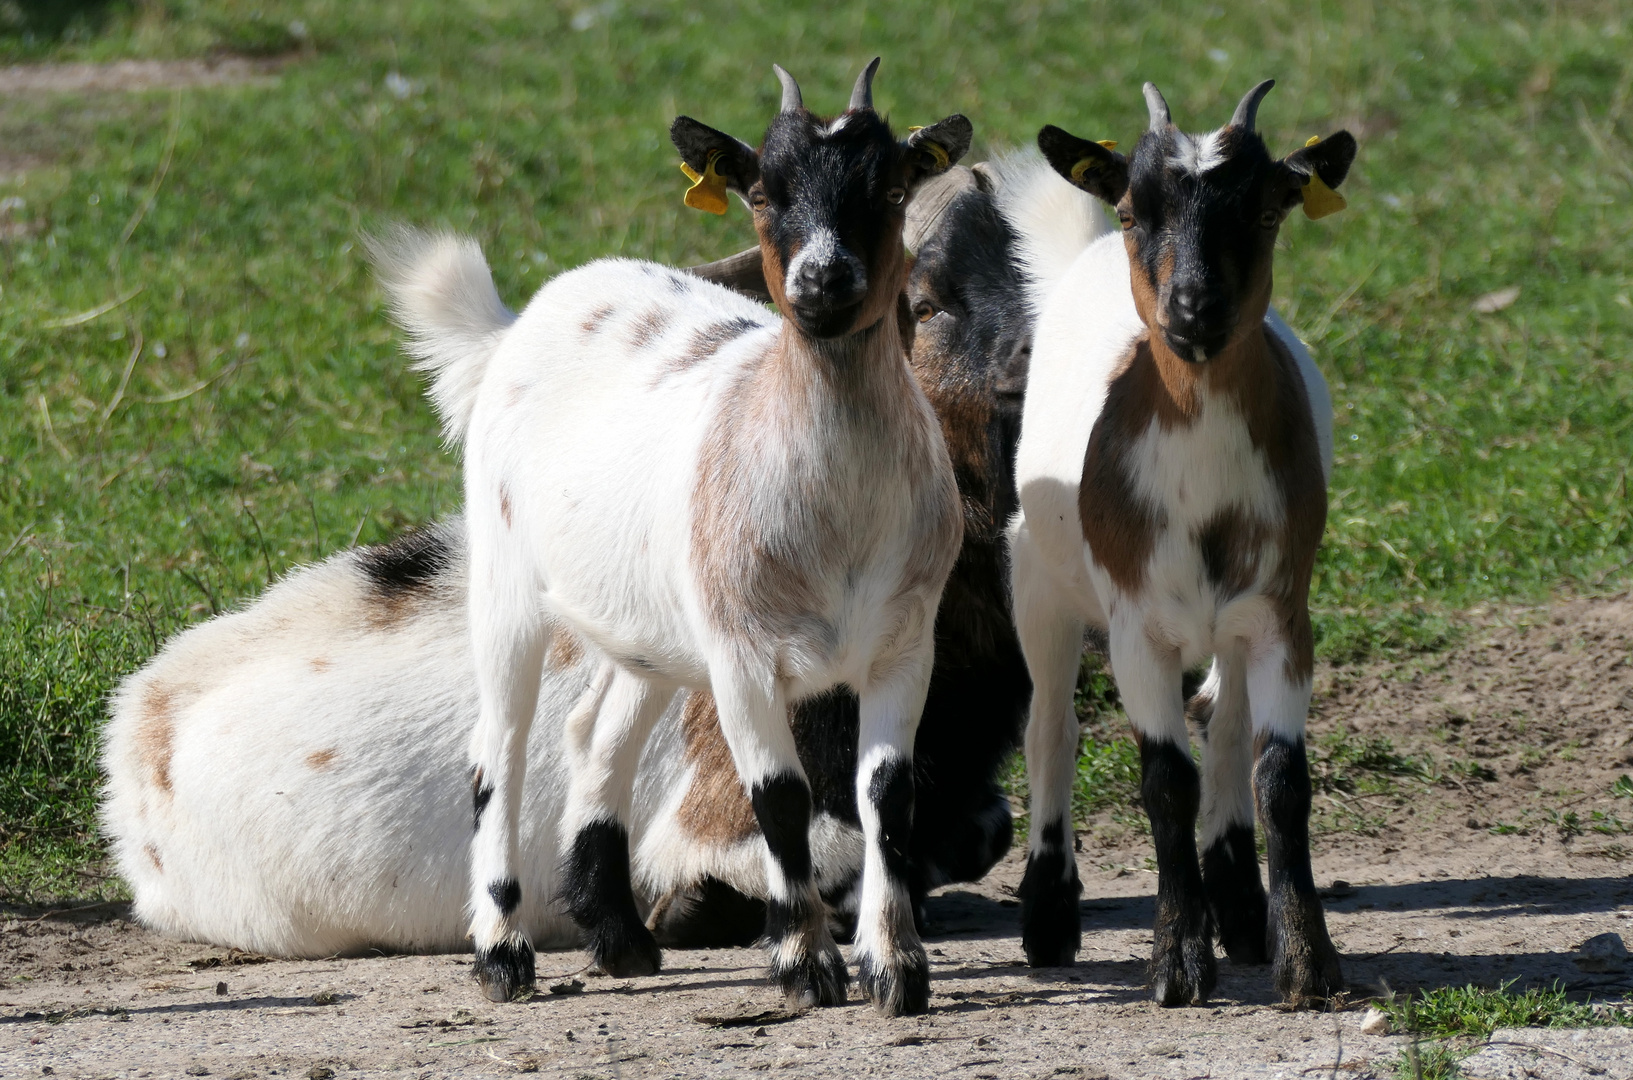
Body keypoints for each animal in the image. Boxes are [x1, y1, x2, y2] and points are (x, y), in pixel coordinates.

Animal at [373, 63, 966, 1013]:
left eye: (893, 188)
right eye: (761, 191)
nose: (821, 283)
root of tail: (520, 321)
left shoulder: (906, 641)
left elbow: (886, 796)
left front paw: (896, 969)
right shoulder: (742, 651)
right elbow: (780, 797)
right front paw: (804, 965)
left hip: (646, 627)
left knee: (595, 734)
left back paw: (619, 939)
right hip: (505, 582)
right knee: (496, 750)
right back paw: (502, 953)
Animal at [999, 80, 1358, 1006]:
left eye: (1266, 208)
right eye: (1134, 210)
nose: (1193, 310)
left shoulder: (1280, 614)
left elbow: (1279, 777)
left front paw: (1306, 959)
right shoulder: (1136, 626)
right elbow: (1163, 781)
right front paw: (1174, 964)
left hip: (1230, 621)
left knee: (1224, 726)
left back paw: (1237, 903)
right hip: (1036, 580)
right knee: (1049, 728)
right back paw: (1047, 914)